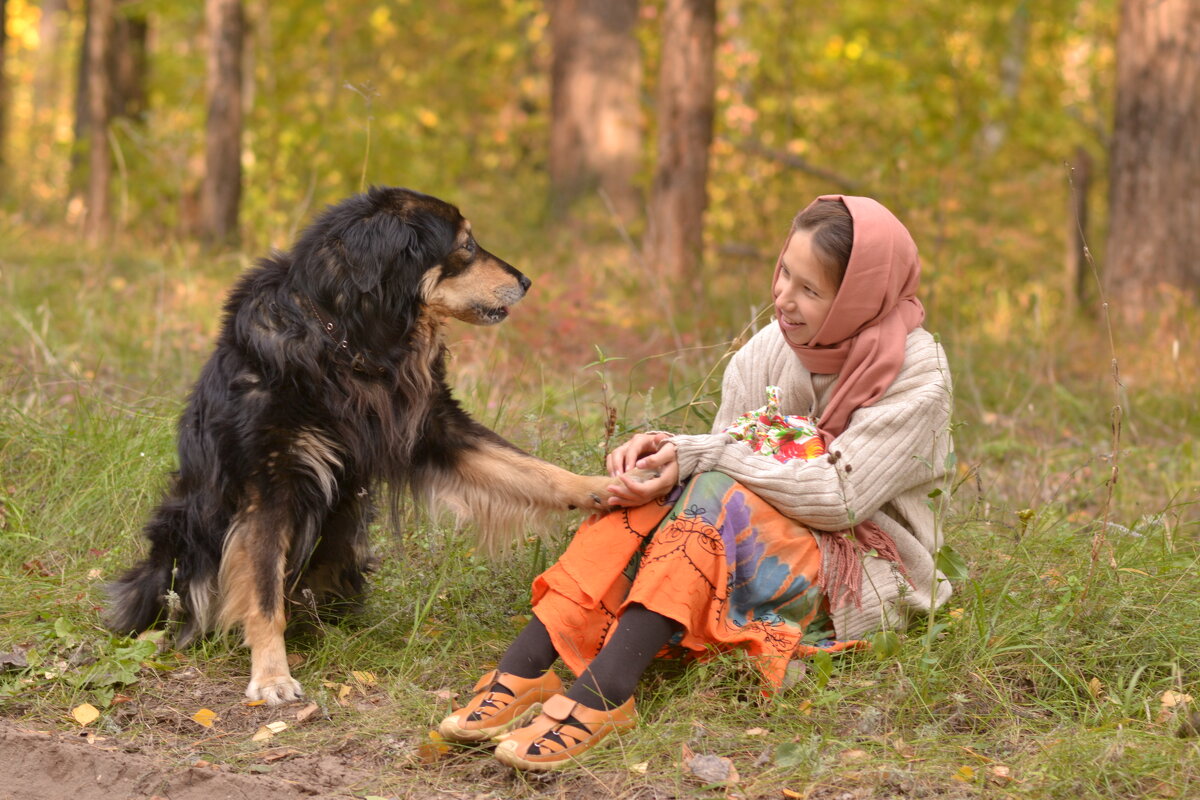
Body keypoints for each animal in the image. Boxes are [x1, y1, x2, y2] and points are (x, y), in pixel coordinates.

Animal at [108, 188, 643, 705]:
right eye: (466, 245)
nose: (528, 281)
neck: (353, 343)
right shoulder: (270, 484)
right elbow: (263, 596)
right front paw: (271, 675)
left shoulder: (437, 429)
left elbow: (533, 470)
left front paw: (604, 485)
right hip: (183, 536)